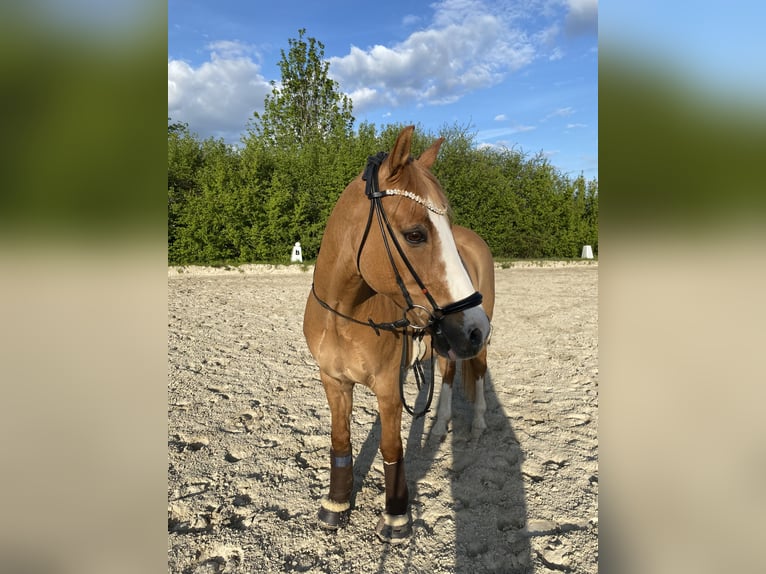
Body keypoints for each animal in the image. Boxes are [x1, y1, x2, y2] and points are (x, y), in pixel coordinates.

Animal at [304, 126, 496, 544]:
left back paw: (476, 426)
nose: (474, 328)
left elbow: (392, 447)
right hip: (447, 341)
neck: (346, 314)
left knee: (476, 371)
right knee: (448, 374)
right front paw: (336, 506)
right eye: (415, 234)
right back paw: (439, 428)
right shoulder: (333, 381)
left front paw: (396, 518)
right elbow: (340, 439)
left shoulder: (389, 387)